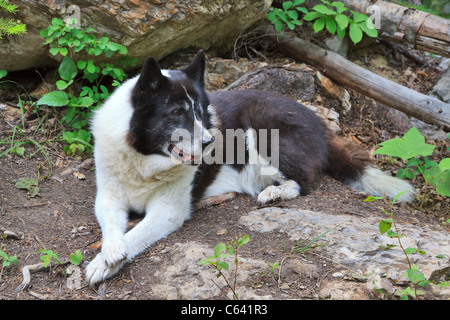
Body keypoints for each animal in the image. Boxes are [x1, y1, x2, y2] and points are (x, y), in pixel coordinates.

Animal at [85, 49, 414, 284]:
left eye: (201, 112)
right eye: (176, 113)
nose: (210, 143)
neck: (144, 159)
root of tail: (320, 123)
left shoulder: (168, 212)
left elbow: (136, 234)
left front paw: (101, 263)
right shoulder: (108, 198)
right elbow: (112, 226)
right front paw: (110, 251)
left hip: (262, 133)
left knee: (304, 182)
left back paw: (274, 194)